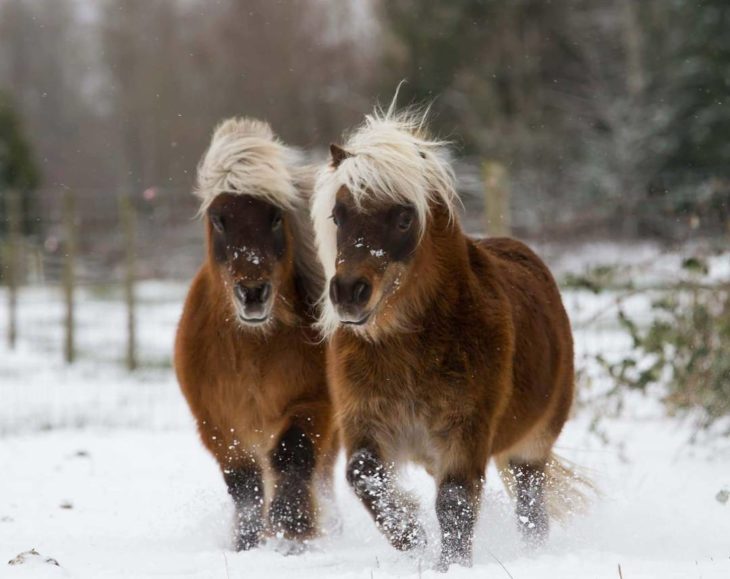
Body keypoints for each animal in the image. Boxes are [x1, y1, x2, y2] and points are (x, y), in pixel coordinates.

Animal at [175, 119, 336, 552]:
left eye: (275, 217)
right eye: (219, 219)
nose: (252, 292)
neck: (253, 349)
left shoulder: (312, 404)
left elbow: (292, 456)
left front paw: (291, 530)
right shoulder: (217, 424)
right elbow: (244, 482)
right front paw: (248, 542)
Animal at [310, 109, 584, 572]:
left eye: (404, 217)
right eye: (338, 215)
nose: (349, 292)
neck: (407, 349)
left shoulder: (466, 429)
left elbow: (456, 501)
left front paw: (449, 564)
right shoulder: (365, 420)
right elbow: (364, 477)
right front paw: (412, 537)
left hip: (531, 448)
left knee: (532, 513)